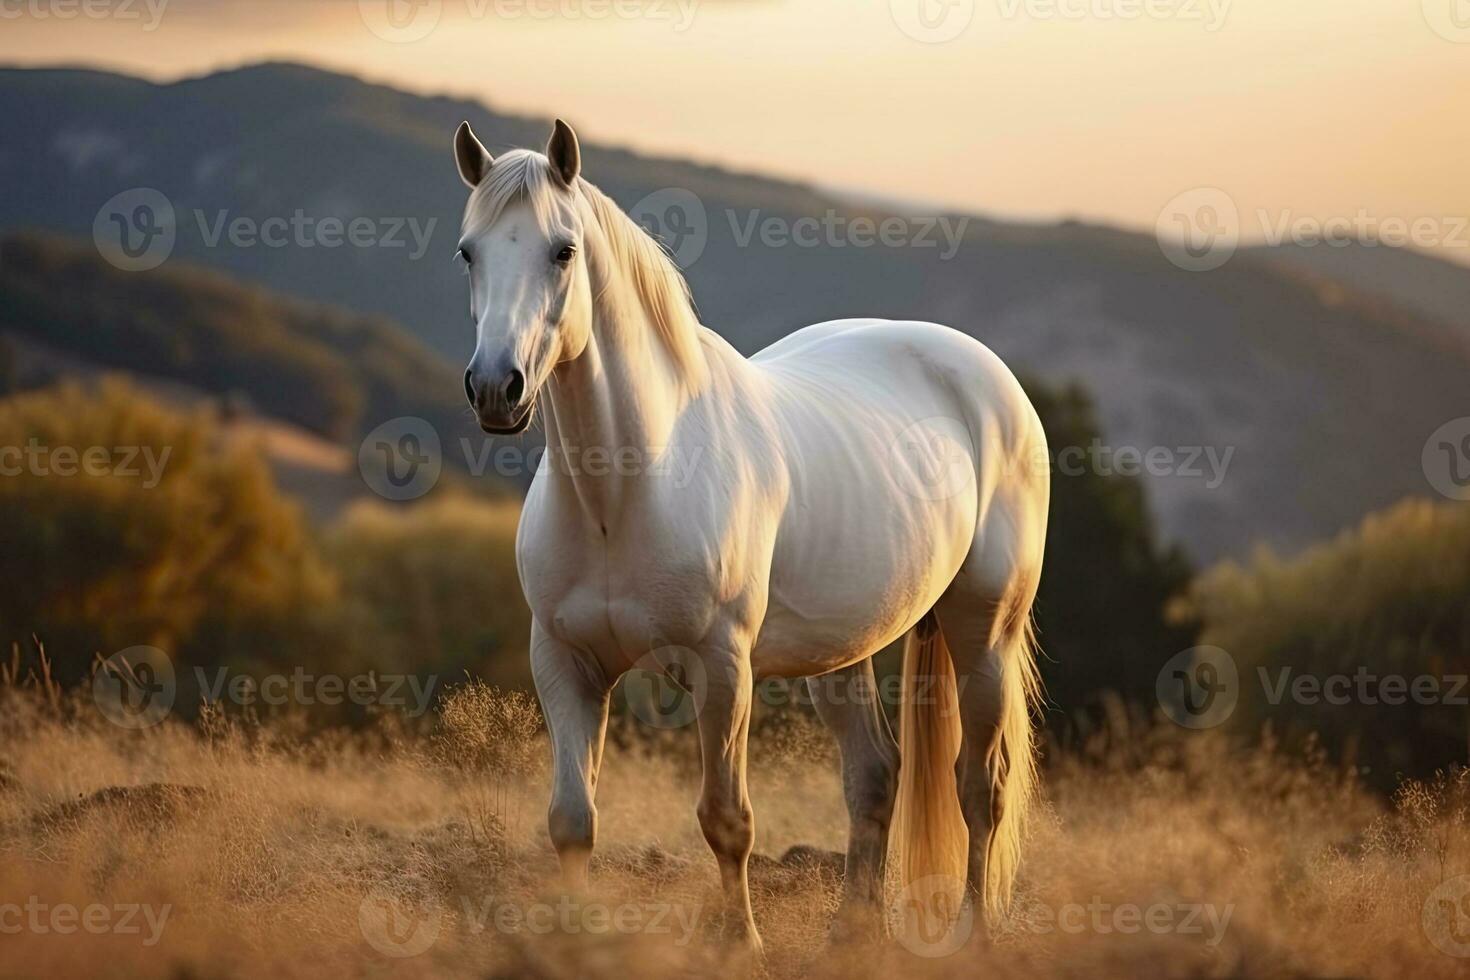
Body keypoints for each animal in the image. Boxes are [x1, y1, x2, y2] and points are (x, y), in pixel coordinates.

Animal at [446, 119, 1046, 952]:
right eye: (468, 251)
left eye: (562, 250)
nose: (496, 389)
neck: (623, 493)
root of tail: (985, 375)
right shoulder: (564, 663)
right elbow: (572, 819)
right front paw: (575, 939)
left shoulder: (723, 667)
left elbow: (726, 819)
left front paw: (742, 943)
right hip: (845, 651)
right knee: (875, 775)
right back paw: (850, 935)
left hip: (984, 632)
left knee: (980, 786)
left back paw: (974, 936)